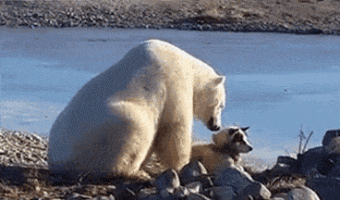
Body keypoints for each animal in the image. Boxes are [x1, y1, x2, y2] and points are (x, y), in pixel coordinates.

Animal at [46, 39, 224, 180]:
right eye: (221, 104)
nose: (217, 126)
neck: (189, 66)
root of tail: (57, 162)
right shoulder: (175, 83)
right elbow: (174, 128)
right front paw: (182, 166)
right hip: (101, 133)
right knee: (136, 128)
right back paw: (136, 173)